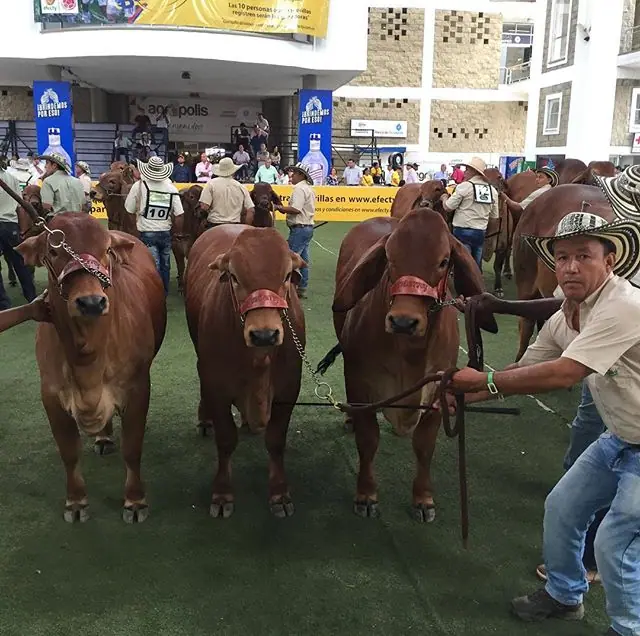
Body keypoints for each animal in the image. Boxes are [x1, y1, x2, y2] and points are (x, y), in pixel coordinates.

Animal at [16, 212, 166, 523]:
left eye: (106, 249)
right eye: (53, 251)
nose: (91, 302)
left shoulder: (138, 389)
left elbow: (132, 448)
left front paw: (135, 501)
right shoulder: (50, 396)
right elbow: (69, 452)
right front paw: (76, 502)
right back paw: (104, 437)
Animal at [184, 225, 305, 518]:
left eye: (287, 276)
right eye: (234, 277)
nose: (264, 334)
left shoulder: (289, 389)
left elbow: (275, 440)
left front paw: (279, 493)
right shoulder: (216, 386)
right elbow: (226, 439)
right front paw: (222, 494)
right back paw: (205, 420)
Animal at [330, 208, 497, 521]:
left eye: (444, 262)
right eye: (390, 258)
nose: (403, 321)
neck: (410, 355)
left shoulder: (438, 392)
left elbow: (424, 447)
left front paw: (423, 498)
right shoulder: (359, 384)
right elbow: (368, 439)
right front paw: (366, 494)